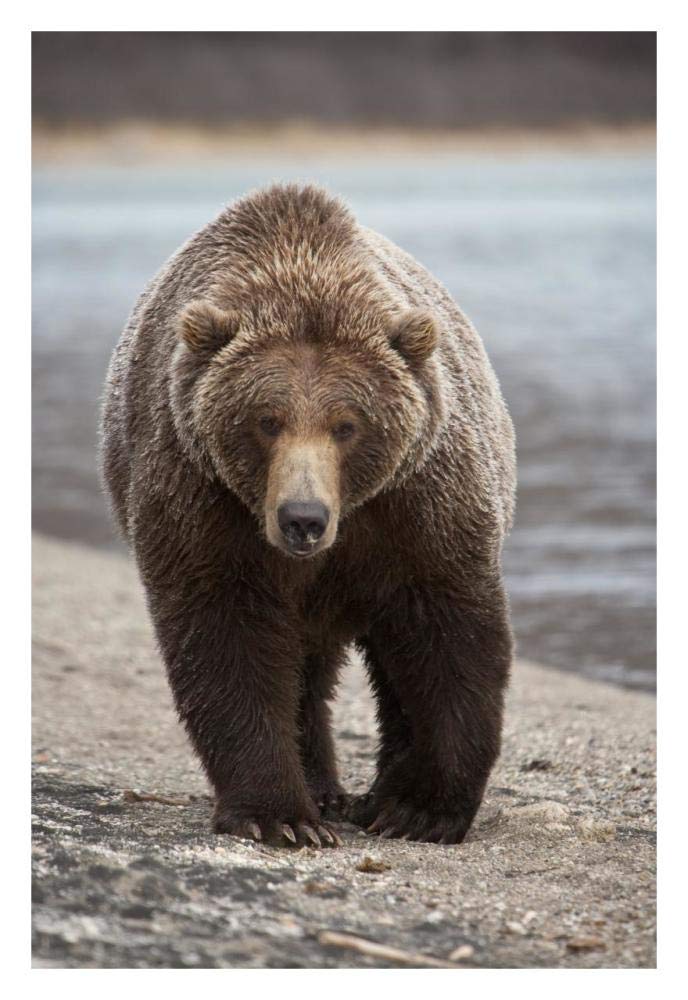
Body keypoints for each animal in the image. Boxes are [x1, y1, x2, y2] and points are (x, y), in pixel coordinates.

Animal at [101, 183, 516, 848]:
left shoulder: (416, 503)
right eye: (266, 419)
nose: (303, 518)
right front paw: (281, 815)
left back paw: (373, 797)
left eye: (348, 425)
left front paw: (421, 809)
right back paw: (322, 792)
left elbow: (446, 635)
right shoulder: (203, 498)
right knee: (303, 671)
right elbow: (227, 636)